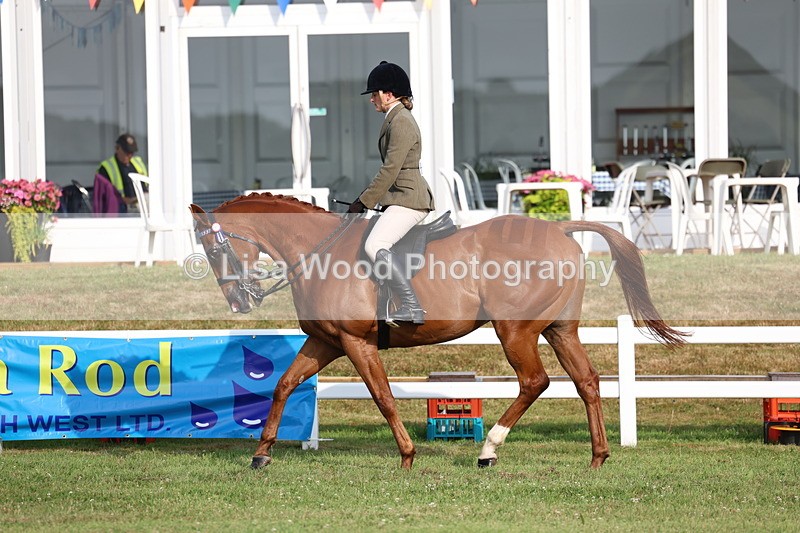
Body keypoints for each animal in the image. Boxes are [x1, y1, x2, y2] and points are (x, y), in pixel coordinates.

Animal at [189, 193, 685, 470]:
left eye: (212, 248)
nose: (239, 303)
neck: (317, 251)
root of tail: (560, 229)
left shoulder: (355, 341)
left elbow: (383, 396)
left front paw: (408, 456)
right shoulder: (325, 341)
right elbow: (283, 385)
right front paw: (261, 453)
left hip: (516, 330)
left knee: (535, 381)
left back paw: (488, 450)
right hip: (559, 329)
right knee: (586, 381)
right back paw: (597, 457)